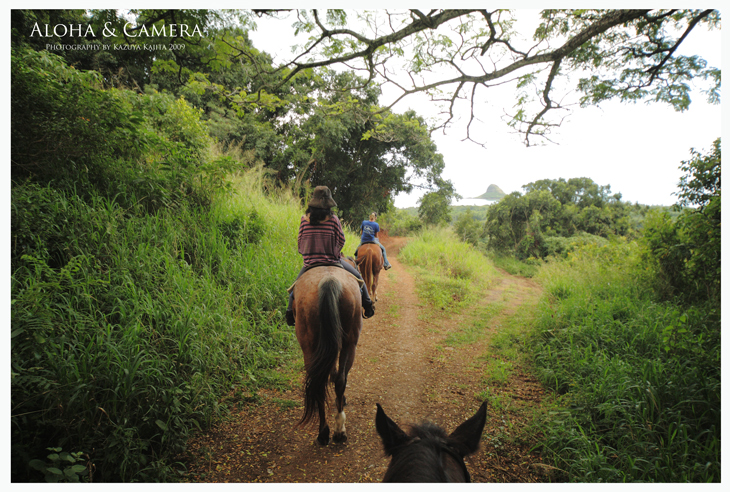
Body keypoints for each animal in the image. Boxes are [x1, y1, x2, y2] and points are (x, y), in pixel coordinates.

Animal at [288, 266, 360, 446]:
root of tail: (329, 281)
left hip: (311, 347)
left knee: (321, 383)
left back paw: (327, 432)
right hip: (349, 342)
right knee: (338, 379)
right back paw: (336, 431)